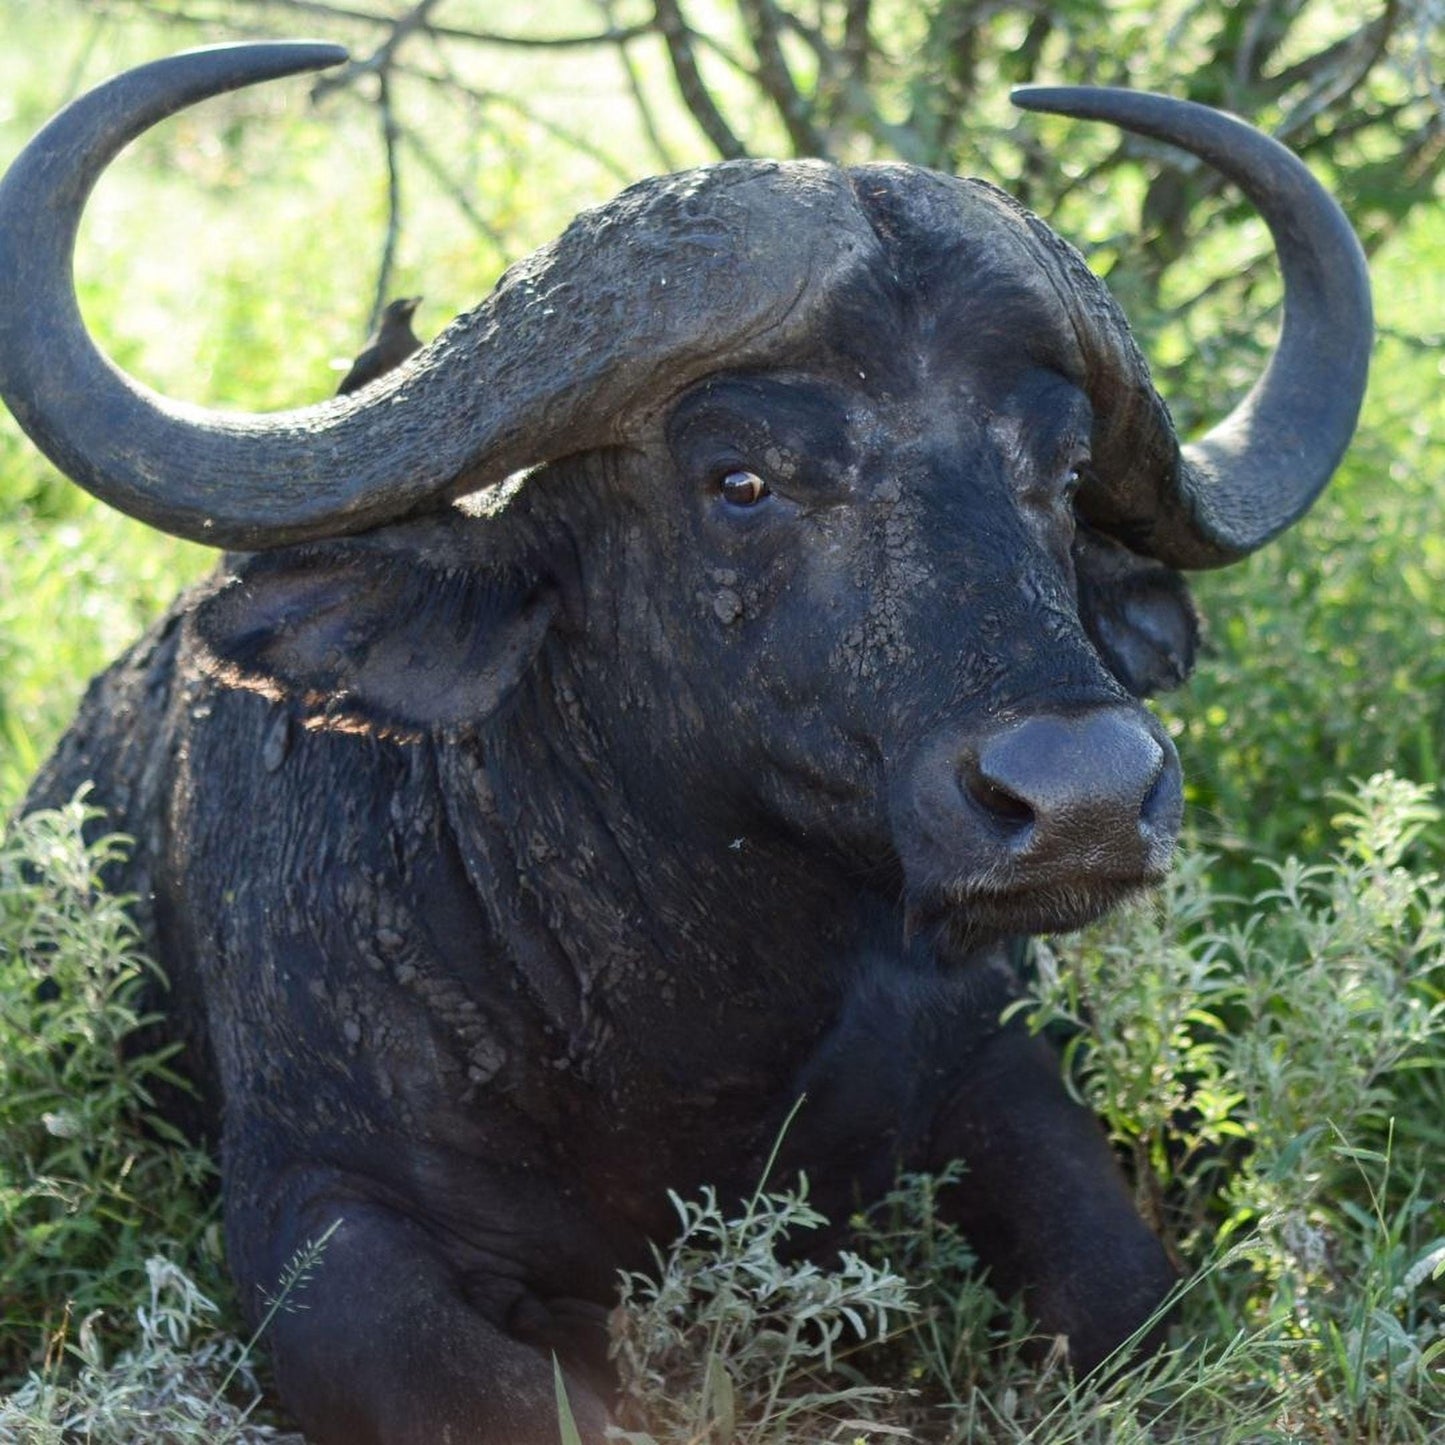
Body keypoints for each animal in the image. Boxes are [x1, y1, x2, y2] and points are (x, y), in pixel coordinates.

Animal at [0, 41, 1371, 1445]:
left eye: (1060, 469)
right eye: (742, 479)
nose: (1085, 797)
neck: (676, 1020)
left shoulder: (998, 1065)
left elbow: (1127, 1294)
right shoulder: (312, 1209)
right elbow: (502, 1394)